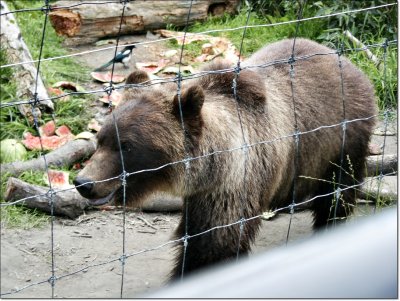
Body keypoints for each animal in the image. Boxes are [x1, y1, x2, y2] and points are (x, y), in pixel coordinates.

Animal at [73, 38, 376, 278]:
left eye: (126, 146)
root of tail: (344, 59)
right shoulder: (203, 193)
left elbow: (215, 242)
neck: (210, 167)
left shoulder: (234, 182)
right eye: (101, 140)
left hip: (342, 136)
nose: (83, 182)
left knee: (337, 191)